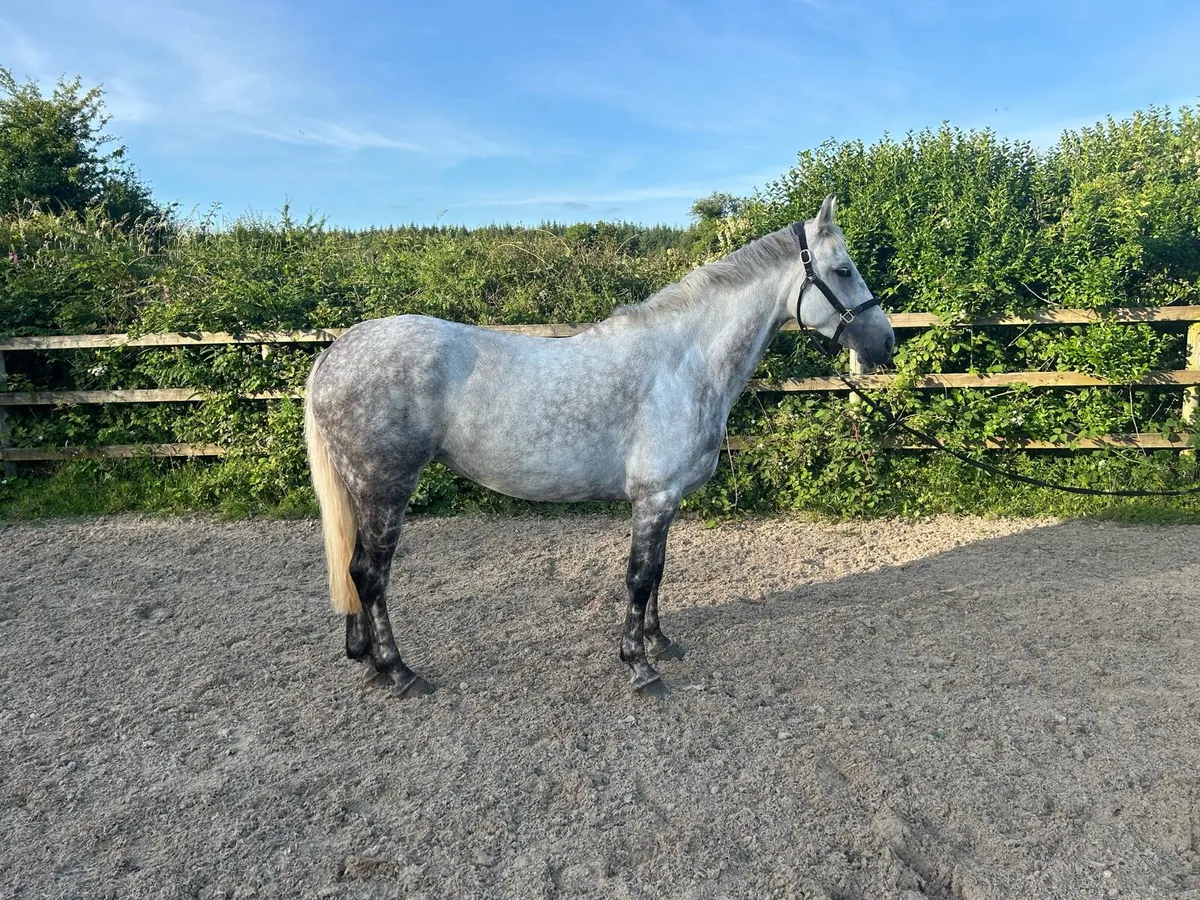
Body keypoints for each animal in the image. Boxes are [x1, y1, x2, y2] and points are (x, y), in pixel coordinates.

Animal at [304, 195, 895, 698]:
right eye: (843, 270)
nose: (885, 342)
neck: (682, 361)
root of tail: (335, 353)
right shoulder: (653, 498)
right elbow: (638, 577)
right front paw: (639, 666)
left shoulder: (665, 500)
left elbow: (658, 572)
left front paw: (659, 642)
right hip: (385, 488)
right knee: (370, 574)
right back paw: (399, 671)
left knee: (357, 569)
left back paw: (366, 658)